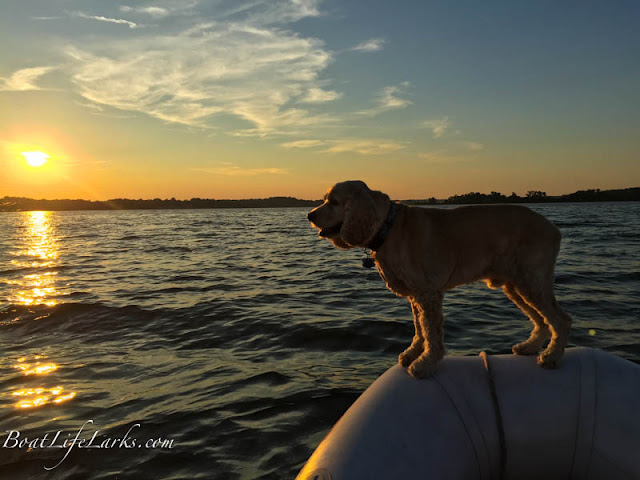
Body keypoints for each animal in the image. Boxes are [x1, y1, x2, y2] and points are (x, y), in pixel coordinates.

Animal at [308, 180, 572, 378]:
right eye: (325, 199)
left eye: (333, 202)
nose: (310, 215)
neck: (389, 228)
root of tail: (553, 228)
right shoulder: (415, 295)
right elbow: (419, 328)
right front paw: (412, 353)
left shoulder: (428, 293)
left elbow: (431, 332)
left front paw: (425, 364)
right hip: (516, 285)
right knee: (541, 320)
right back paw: (530, 347)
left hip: (532, 280)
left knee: (560, 319)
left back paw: (552, 356)